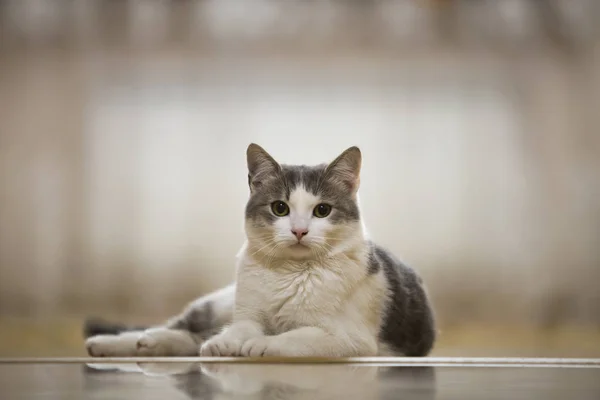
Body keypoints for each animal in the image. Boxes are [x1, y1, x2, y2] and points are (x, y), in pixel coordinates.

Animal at [85, 145, 436, 358]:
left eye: (322, 210)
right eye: (280, 208)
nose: (299, 230)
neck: (289, 274)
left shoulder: (349, 339)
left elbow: (297, 337)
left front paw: (261, 345)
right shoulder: (248, 312)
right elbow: (242, 327)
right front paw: (229, 342)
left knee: (191, 340)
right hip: (219, 304)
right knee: (182, 329)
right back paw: (117, 342)